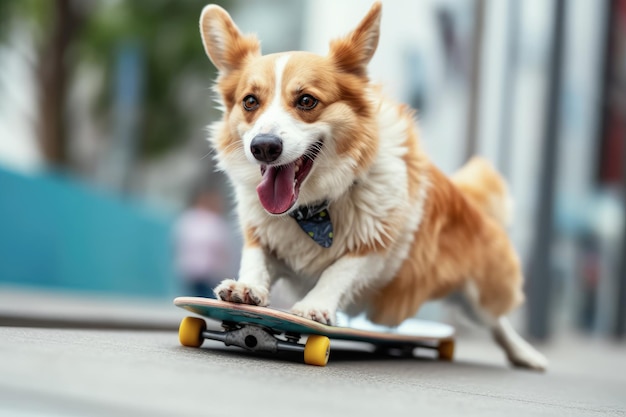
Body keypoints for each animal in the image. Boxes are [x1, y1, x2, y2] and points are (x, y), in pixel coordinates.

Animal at [199, 1, 544, 368]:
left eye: (307, 101)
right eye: (250, 101)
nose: (263, 146)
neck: (314, 210)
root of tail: (468, 199)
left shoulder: (381, 245)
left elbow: (341, 269)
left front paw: (314, 306)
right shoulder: (262, 234)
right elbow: (255, 259)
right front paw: (246, 289)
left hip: (479, 295)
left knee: (497, 320)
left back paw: (525, 354)